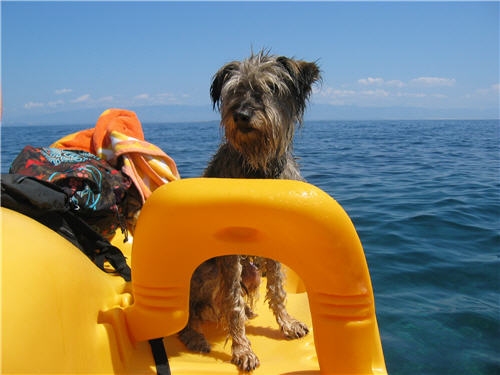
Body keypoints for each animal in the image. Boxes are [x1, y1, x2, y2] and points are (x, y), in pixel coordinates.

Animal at [179, 50, 320, 374]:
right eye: (235, 90)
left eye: (271, 88)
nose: (241, 115)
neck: (258, 166)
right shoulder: (229, 252)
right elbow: (231, 302)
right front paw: (242, 349)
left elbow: (278, 288)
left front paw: (287, 324)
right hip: (207, 271)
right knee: (192, 311)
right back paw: (195, 336)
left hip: (252, 272)